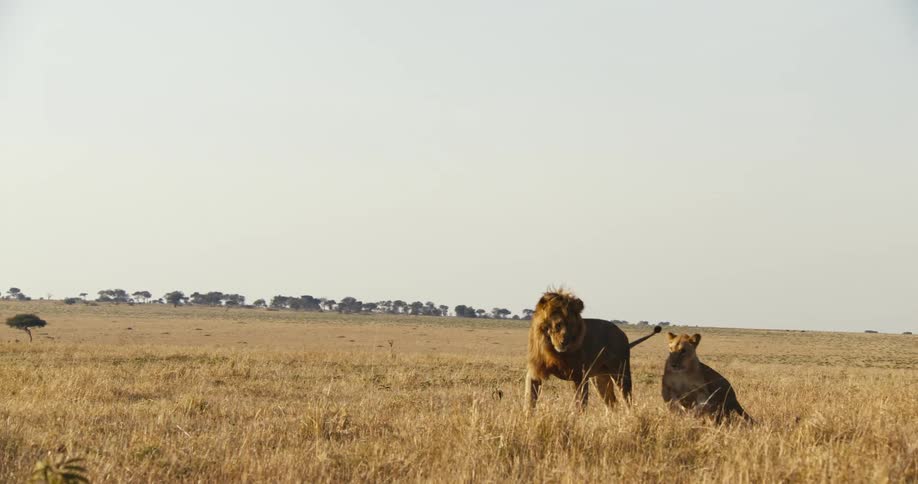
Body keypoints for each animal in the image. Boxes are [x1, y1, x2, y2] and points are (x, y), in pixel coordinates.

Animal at [525, 290, 661, 410]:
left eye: (571, 325)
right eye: (558, 325)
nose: (565, 342)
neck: (554, 351)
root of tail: (621, 332)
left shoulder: (580, 376)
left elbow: (581, 405)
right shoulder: (534, 372)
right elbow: (530, 401)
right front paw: (528, 418)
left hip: (621, 372)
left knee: (627, 400)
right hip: (600, 378)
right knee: (612, 403)